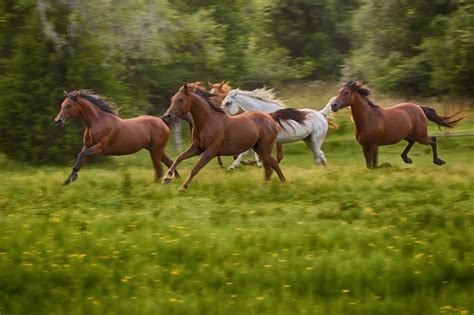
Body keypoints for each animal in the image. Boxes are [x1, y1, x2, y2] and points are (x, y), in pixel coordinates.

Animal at [159, 84, 308, 191]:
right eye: (173, 99)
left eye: (181, 99)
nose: (167, 116)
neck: (207, 121)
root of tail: (270, 115)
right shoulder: (197, 148)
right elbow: (179, 158)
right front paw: (167, 178)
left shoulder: (210, 151)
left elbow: (196, 168)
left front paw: (182, 187)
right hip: (259, 148)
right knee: (273, 166)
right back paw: (278, 185)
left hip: (264, 148)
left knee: (270, 167)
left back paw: (269, 188)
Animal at [332, 81, 464, 170]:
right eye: (338, 92)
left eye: (346, 92)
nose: (333, 105)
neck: (368, 120)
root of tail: (419, 107)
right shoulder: (365, 146)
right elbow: (369, 166)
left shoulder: (374, 145)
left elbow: (374, 165)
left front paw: (387, 165)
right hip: (406, 134)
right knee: (412, 141)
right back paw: (407, 159)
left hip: (420, 134)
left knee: (433, 140)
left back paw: (438, 161)